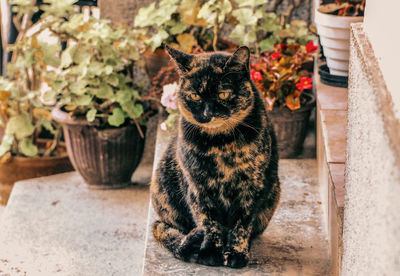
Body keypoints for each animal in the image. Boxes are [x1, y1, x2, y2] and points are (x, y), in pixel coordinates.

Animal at [151, 44, 282, 268]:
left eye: (223, 94)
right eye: (195, 96)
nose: (207, 114)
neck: (220, 145)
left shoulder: (251, 185)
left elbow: (241, 223)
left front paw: (237, 254)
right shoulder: (198, 186)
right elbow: (209, 220)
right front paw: (210, 252)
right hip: (162, 181)